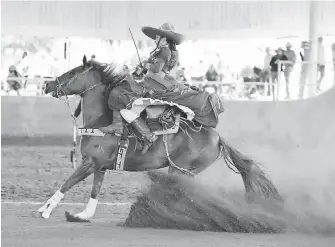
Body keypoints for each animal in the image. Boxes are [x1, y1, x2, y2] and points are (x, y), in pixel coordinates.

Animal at [39, 55, 284, 222]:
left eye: (71, 73)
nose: (47, 84)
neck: (104, 120)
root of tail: (218, 137)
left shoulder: (89, 163)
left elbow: (67, 183)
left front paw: (46, 209)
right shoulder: (100, 166)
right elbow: (94, 191)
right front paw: (83, 215)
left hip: (181, 171)